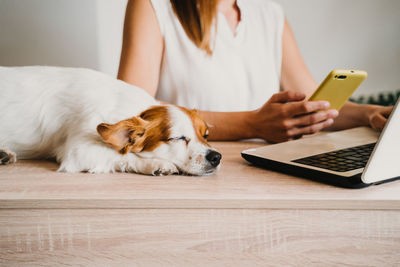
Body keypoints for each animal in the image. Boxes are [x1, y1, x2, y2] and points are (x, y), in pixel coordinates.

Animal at [0, 66, 222, 176]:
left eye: (205, 135)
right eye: (178, 138)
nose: (216, 157)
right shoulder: (78, 151)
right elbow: (122, 155)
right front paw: (156, 163)